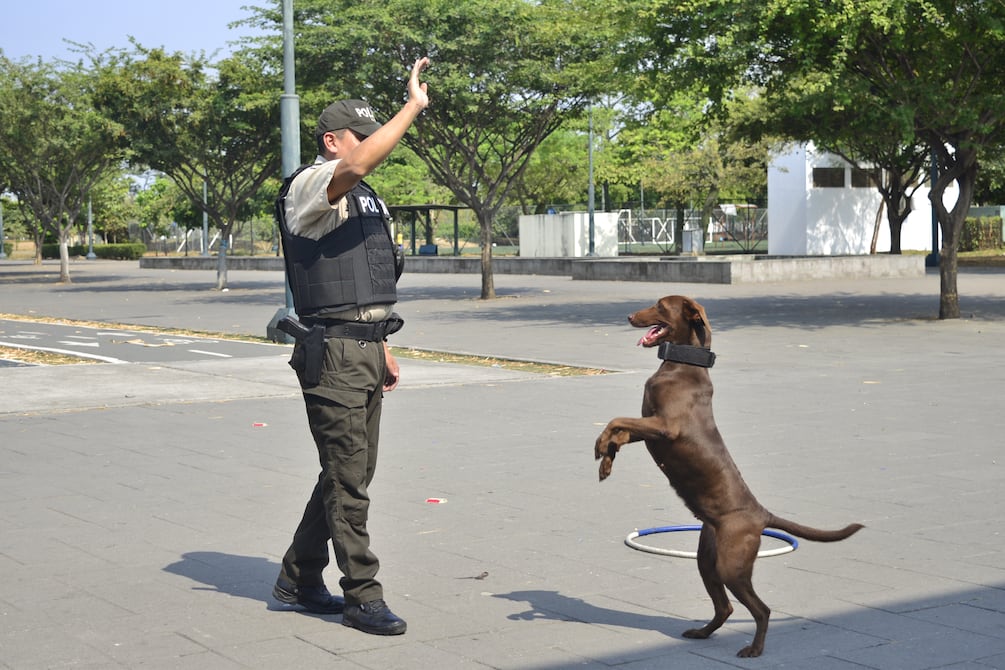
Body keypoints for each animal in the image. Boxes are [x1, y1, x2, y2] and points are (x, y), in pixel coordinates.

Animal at [594, 295, 864, 658]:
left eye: (661, 305)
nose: (628, 315)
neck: (681, 365)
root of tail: (762, 514)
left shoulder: (665, 426)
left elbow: (616, 420)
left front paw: (600, 447)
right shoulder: (651, 428)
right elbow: (620, 433)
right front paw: (605, 462)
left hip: (731, 565)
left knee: (761, 609)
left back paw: (754, 649)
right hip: (707, 560)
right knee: (725, 607)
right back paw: (702, 632)